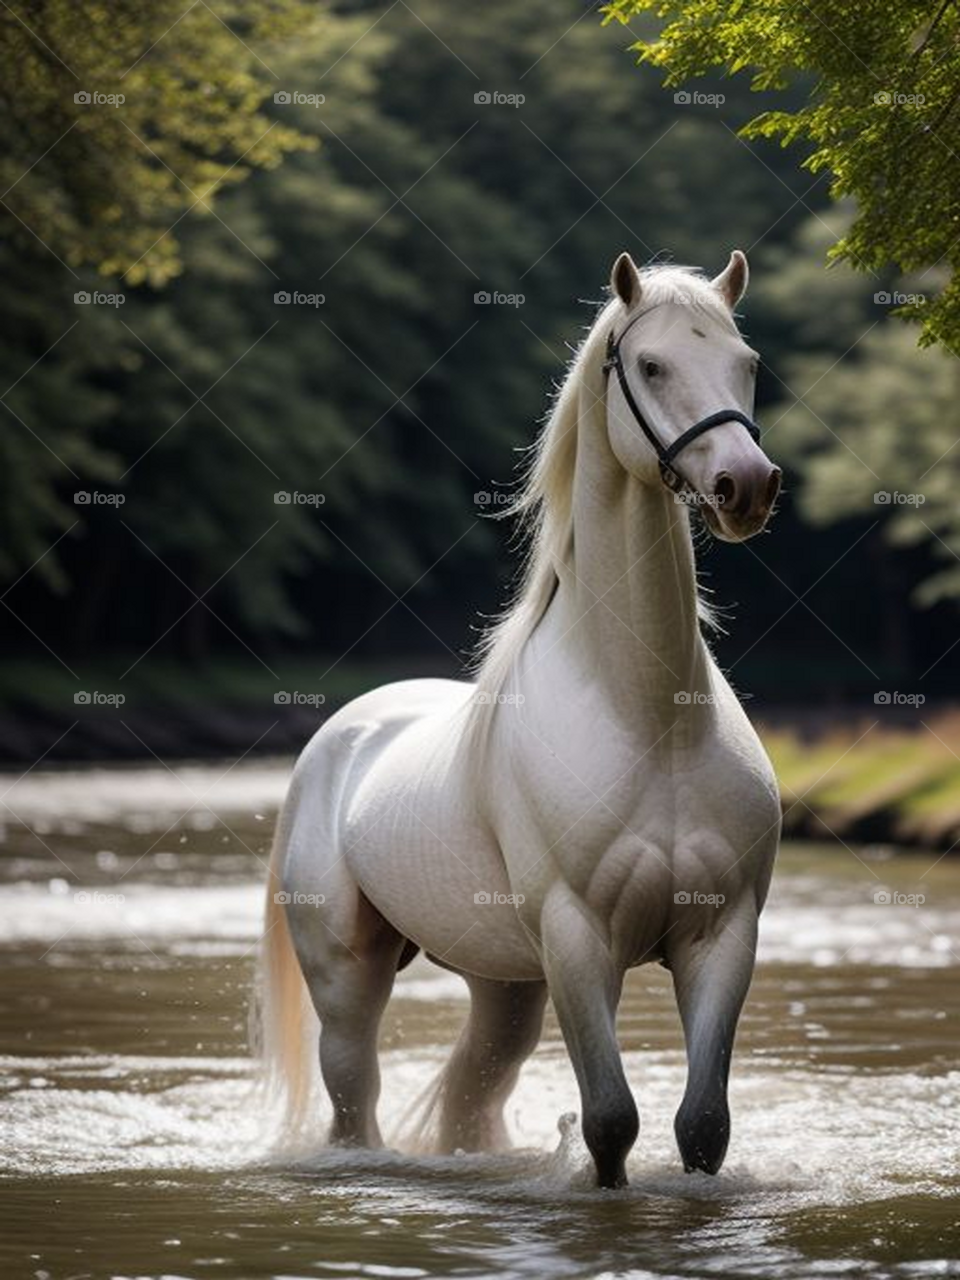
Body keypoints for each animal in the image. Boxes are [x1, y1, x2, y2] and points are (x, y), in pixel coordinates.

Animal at [256, 249, 782, 1189]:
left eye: (746, 363)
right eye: (651, 365)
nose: (745, 486)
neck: (650, 718)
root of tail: (336, 741)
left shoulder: (722, 935)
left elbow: (703, 1127)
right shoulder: (578, 940)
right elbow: (610, 1123)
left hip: (504, 985)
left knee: (472, 1094)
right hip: (351, 984)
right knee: (357, 1107)